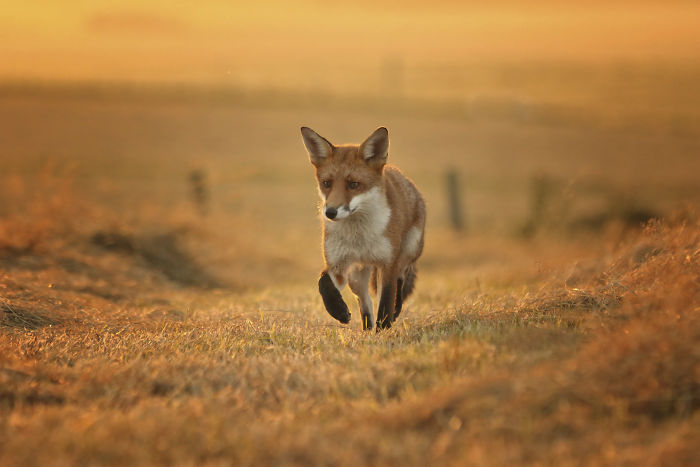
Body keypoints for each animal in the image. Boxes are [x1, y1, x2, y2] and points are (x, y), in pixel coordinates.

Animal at [301, 126, 426, 330]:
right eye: (327, 183)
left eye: (354, 184)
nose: (330, 212)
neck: (358, 237)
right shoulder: (338, 265)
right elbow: (323, 283)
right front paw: (338, 311)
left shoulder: (388, 263)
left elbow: (385, 302)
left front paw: (384, 330)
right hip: (356, 277)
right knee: (364, 302)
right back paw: (366, 328)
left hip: (407, 254)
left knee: (400, 283)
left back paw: (395, 312)